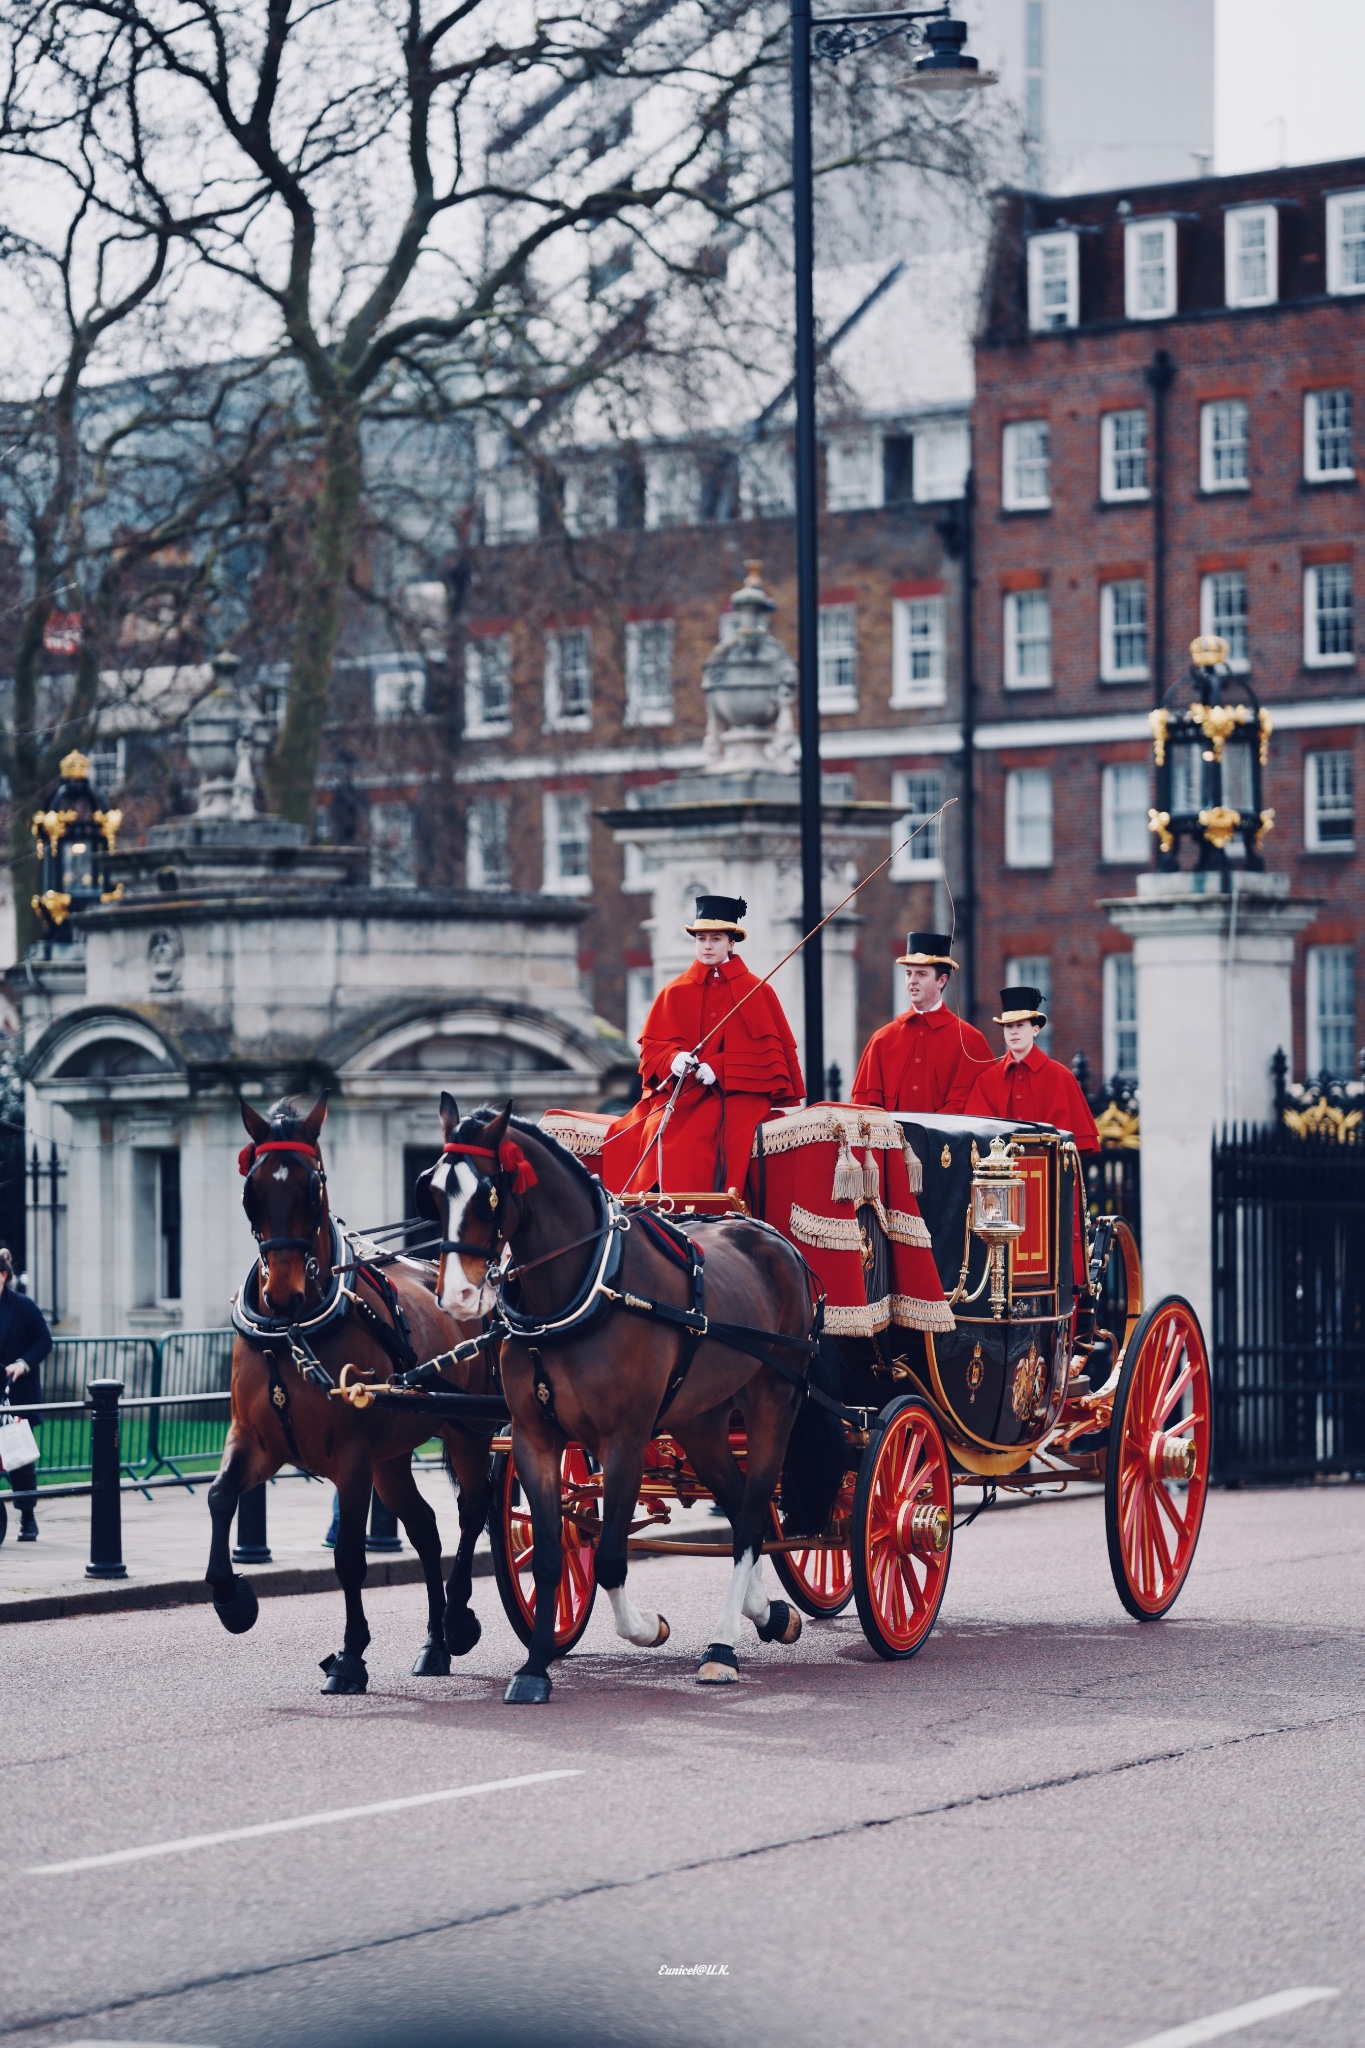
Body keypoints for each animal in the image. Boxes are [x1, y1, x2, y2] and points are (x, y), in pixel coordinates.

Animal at [205, 1089, 493, 1695]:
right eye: (251, 1190)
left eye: (313, 1186)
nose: (282, 1292)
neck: (292, 1334)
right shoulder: (257, 1441)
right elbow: (220, 1497)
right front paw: (232, 1598)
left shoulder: (352, 1457)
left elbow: (350, 1558)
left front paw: (351, 1655)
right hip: (394, 1455)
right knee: (426, 1528)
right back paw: (434, 1643)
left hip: (467, 1431)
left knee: (471, 1511)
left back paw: (457, 1620)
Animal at [427, 1097, 822, 1703]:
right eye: (432, 1188)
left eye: (489, 1191)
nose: (459, 1297)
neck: (580, 1294)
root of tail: (781, 1244)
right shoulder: (534, 1439)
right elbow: (548, 1556)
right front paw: (535, 1667)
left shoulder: (625, 1440)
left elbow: (612, 1557)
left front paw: (646, 1627)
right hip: (701, 1420)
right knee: (739, 1510)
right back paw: (766, 1613)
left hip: (773, 1403)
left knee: (754, 1511)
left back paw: (722, 1648)